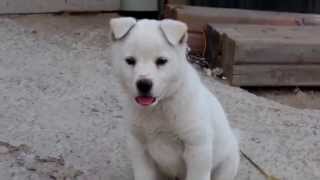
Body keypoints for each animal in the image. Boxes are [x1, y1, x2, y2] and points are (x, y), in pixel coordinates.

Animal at [109, 17, 238, 180]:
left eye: (161, 61)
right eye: (130, 61)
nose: (144, 84)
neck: (159, 107)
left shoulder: (197, 148)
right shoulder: (138, 146)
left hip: (228, 162)